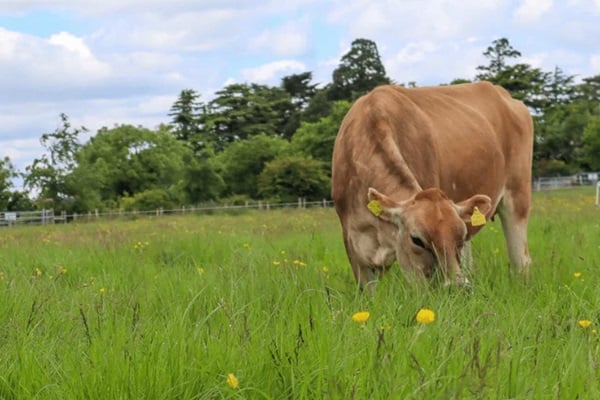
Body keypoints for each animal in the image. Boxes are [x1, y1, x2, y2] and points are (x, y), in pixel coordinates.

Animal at [330, 81, 532, 290]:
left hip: (518, 196)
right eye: (417, 240)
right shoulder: (353, 245)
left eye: (457, 239)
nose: (459, 287)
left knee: (521, 260)